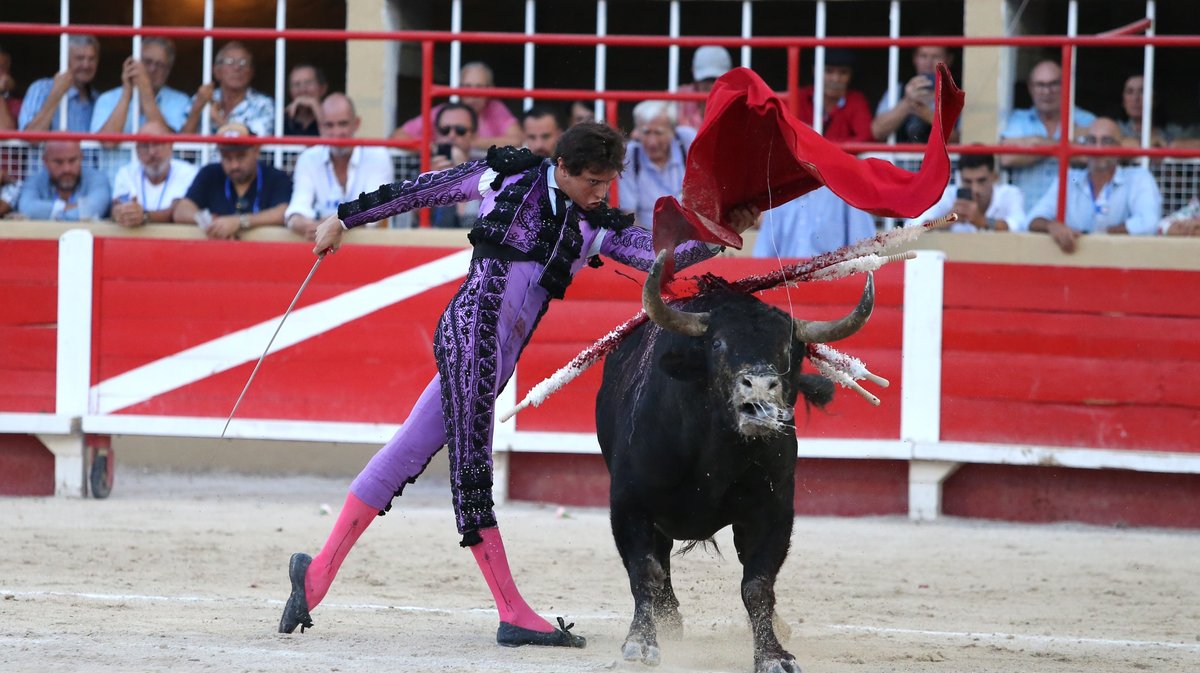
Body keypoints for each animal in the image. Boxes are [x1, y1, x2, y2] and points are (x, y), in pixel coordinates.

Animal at [597, 250, 873, 671]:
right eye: (718, 343)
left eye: (788, 351)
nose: (759, 389)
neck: (715, 451)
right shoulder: (630, 504)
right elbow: (646, 570)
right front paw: (641, 642)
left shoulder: (773, 513)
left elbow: (758, 586)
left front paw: (772, 654)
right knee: (660, 561)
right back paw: (669, 621)